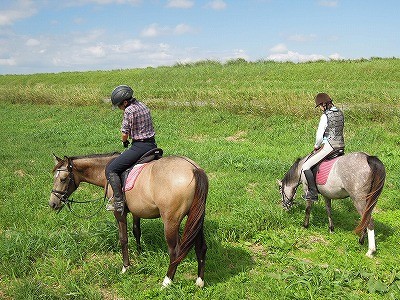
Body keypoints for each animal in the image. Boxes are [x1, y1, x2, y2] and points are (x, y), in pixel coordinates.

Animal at [50, 154, 209, 288]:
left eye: (63, 179)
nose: (52, 203)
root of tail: (194, 169)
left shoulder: (119, 214)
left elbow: (123, 238)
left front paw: (125, 267)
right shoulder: (137, 211)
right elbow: (136, 231)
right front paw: (139, 254)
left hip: (171, 222)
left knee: (175, 252)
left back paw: (167, 281)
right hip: (196, 218)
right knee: (201, 247)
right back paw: (199, 281)